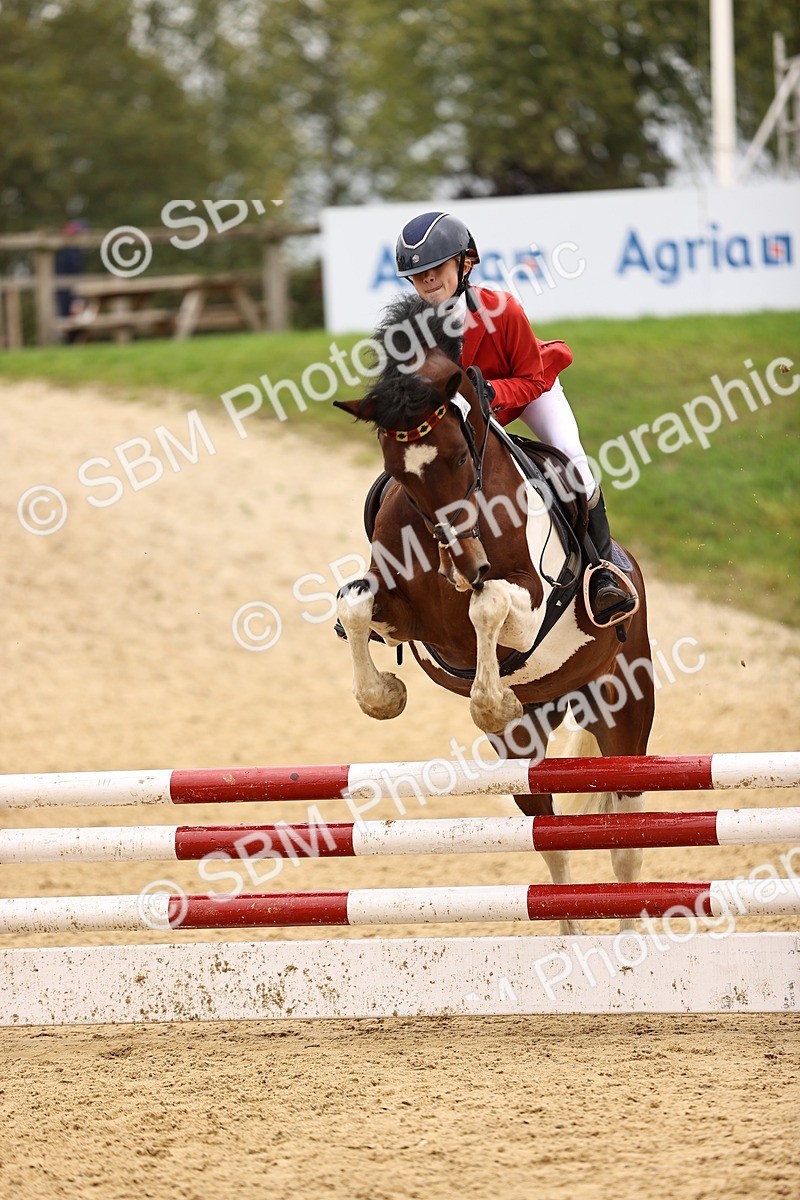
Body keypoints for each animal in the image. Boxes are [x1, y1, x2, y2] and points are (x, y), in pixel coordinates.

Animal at [333, 294, 655, 933]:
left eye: (461, 456)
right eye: (398, 471)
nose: (466, 562)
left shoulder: (532, 605)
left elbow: (490, 603)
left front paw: (490, 700)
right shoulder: (400, 613)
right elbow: (354, 605)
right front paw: (383, 697)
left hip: (625, 709)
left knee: (625, 838)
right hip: (525, 749)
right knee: (550, 839)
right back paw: (569, 933)